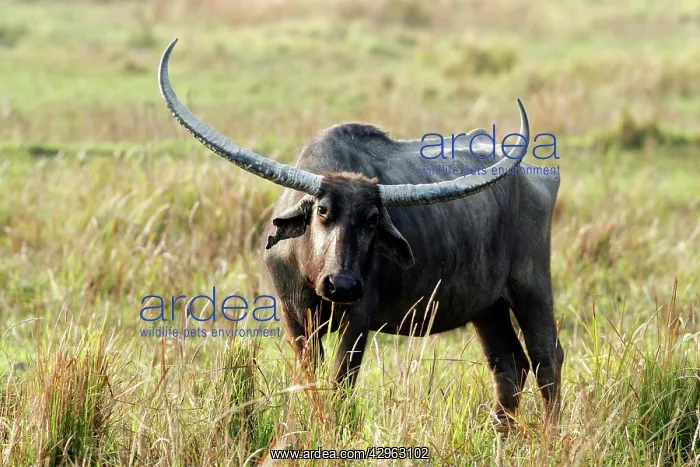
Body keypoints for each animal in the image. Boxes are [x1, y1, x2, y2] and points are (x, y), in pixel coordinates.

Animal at [158, 38, 564, 429]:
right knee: (508, 364)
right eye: (323, 211)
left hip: (531, 286)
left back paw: (549, 436)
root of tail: (537, 175)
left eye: (371, 220)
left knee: (546, 357)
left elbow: (340, 382)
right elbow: (309, 378)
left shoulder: (358, 322)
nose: (342, 285)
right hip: (487, 306)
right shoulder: (294, 318)